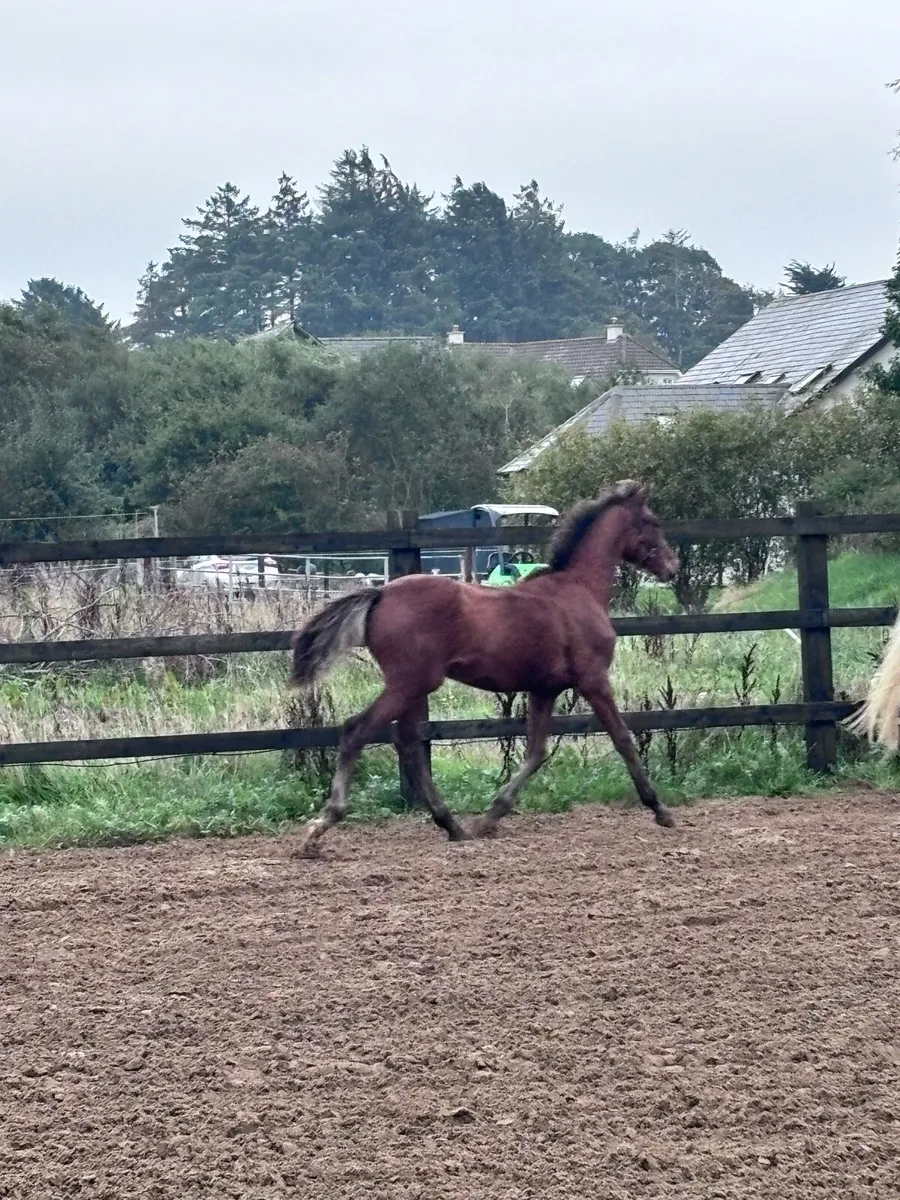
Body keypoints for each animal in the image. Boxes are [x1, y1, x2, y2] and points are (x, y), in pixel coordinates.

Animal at [289, 480, 680, 856]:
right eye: (653, 522)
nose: (672, 567)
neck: (579, 589)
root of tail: (380, 594)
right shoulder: (593, 679)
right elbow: (623, 738)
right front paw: (660, 809)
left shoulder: (544, 689)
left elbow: (536, 752)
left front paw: (490, 816)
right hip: (409, 683)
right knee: (358, 731)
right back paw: (321, 827)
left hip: (412, 687)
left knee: (409, 744)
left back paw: (452, 825)